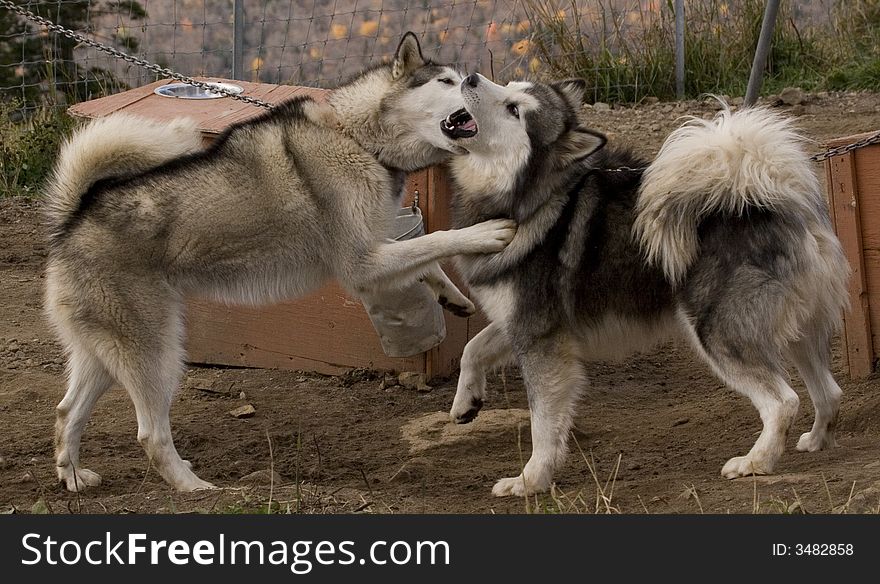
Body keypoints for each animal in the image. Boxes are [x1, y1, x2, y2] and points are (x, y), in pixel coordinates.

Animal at [44, 35, 520, 492]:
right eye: (446, 81)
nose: (479, 83)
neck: (356, 138)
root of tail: (74, 218)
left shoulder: (374, 245)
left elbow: (425, 256)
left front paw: (452, 297)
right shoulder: (361, 263)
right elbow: (437, 239)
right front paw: (485, 234)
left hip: (104, 355)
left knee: (66, 412)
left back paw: (73, 478)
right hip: (156, 352)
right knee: (151, 435)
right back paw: (193, 487)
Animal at [440, 74, 852, 498]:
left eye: (514, 109)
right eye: (508, 83)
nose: (470, 77)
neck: (539, 196)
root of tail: (768, 201)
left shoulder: (540, 340)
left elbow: (543, 424)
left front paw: (531, 480)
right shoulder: (523, 325)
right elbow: (472, 348)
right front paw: (465, 402)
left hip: (717, 333)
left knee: (783, 401)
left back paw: (756, 461)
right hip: (797, 332)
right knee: (829, 393)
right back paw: (816, 439)